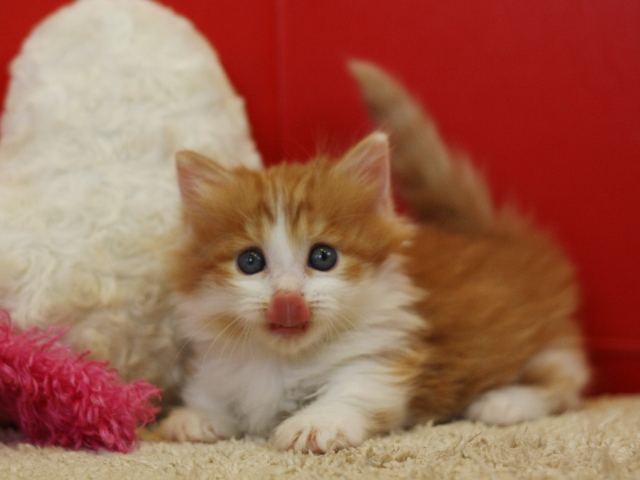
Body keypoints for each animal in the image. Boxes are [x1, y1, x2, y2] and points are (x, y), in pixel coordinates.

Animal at [160, 62, 592, 452]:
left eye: (323, 257)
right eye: (250, 262)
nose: (287, 300)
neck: (282, 360)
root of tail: (496, 237)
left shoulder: (384, 357)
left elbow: (355, 392)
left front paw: (314, 424)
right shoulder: (217, 364)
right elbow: (209, 393)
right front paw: (194, 418)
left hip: (538, 338)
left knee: (565, 380)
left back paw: (503, 402)